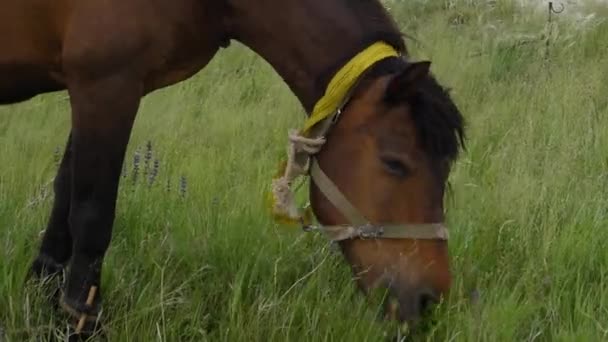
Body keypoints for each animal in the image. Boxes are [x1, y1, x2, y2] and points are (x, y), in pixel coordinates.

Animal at [1, 0, 466, 338]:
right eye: (395, 162)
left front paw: (44, 299)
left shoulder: (98, 89)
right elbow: (92, 216)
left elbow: (65, 198)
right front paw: (81, 321)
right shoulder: (106, 84)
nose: (430, 299)